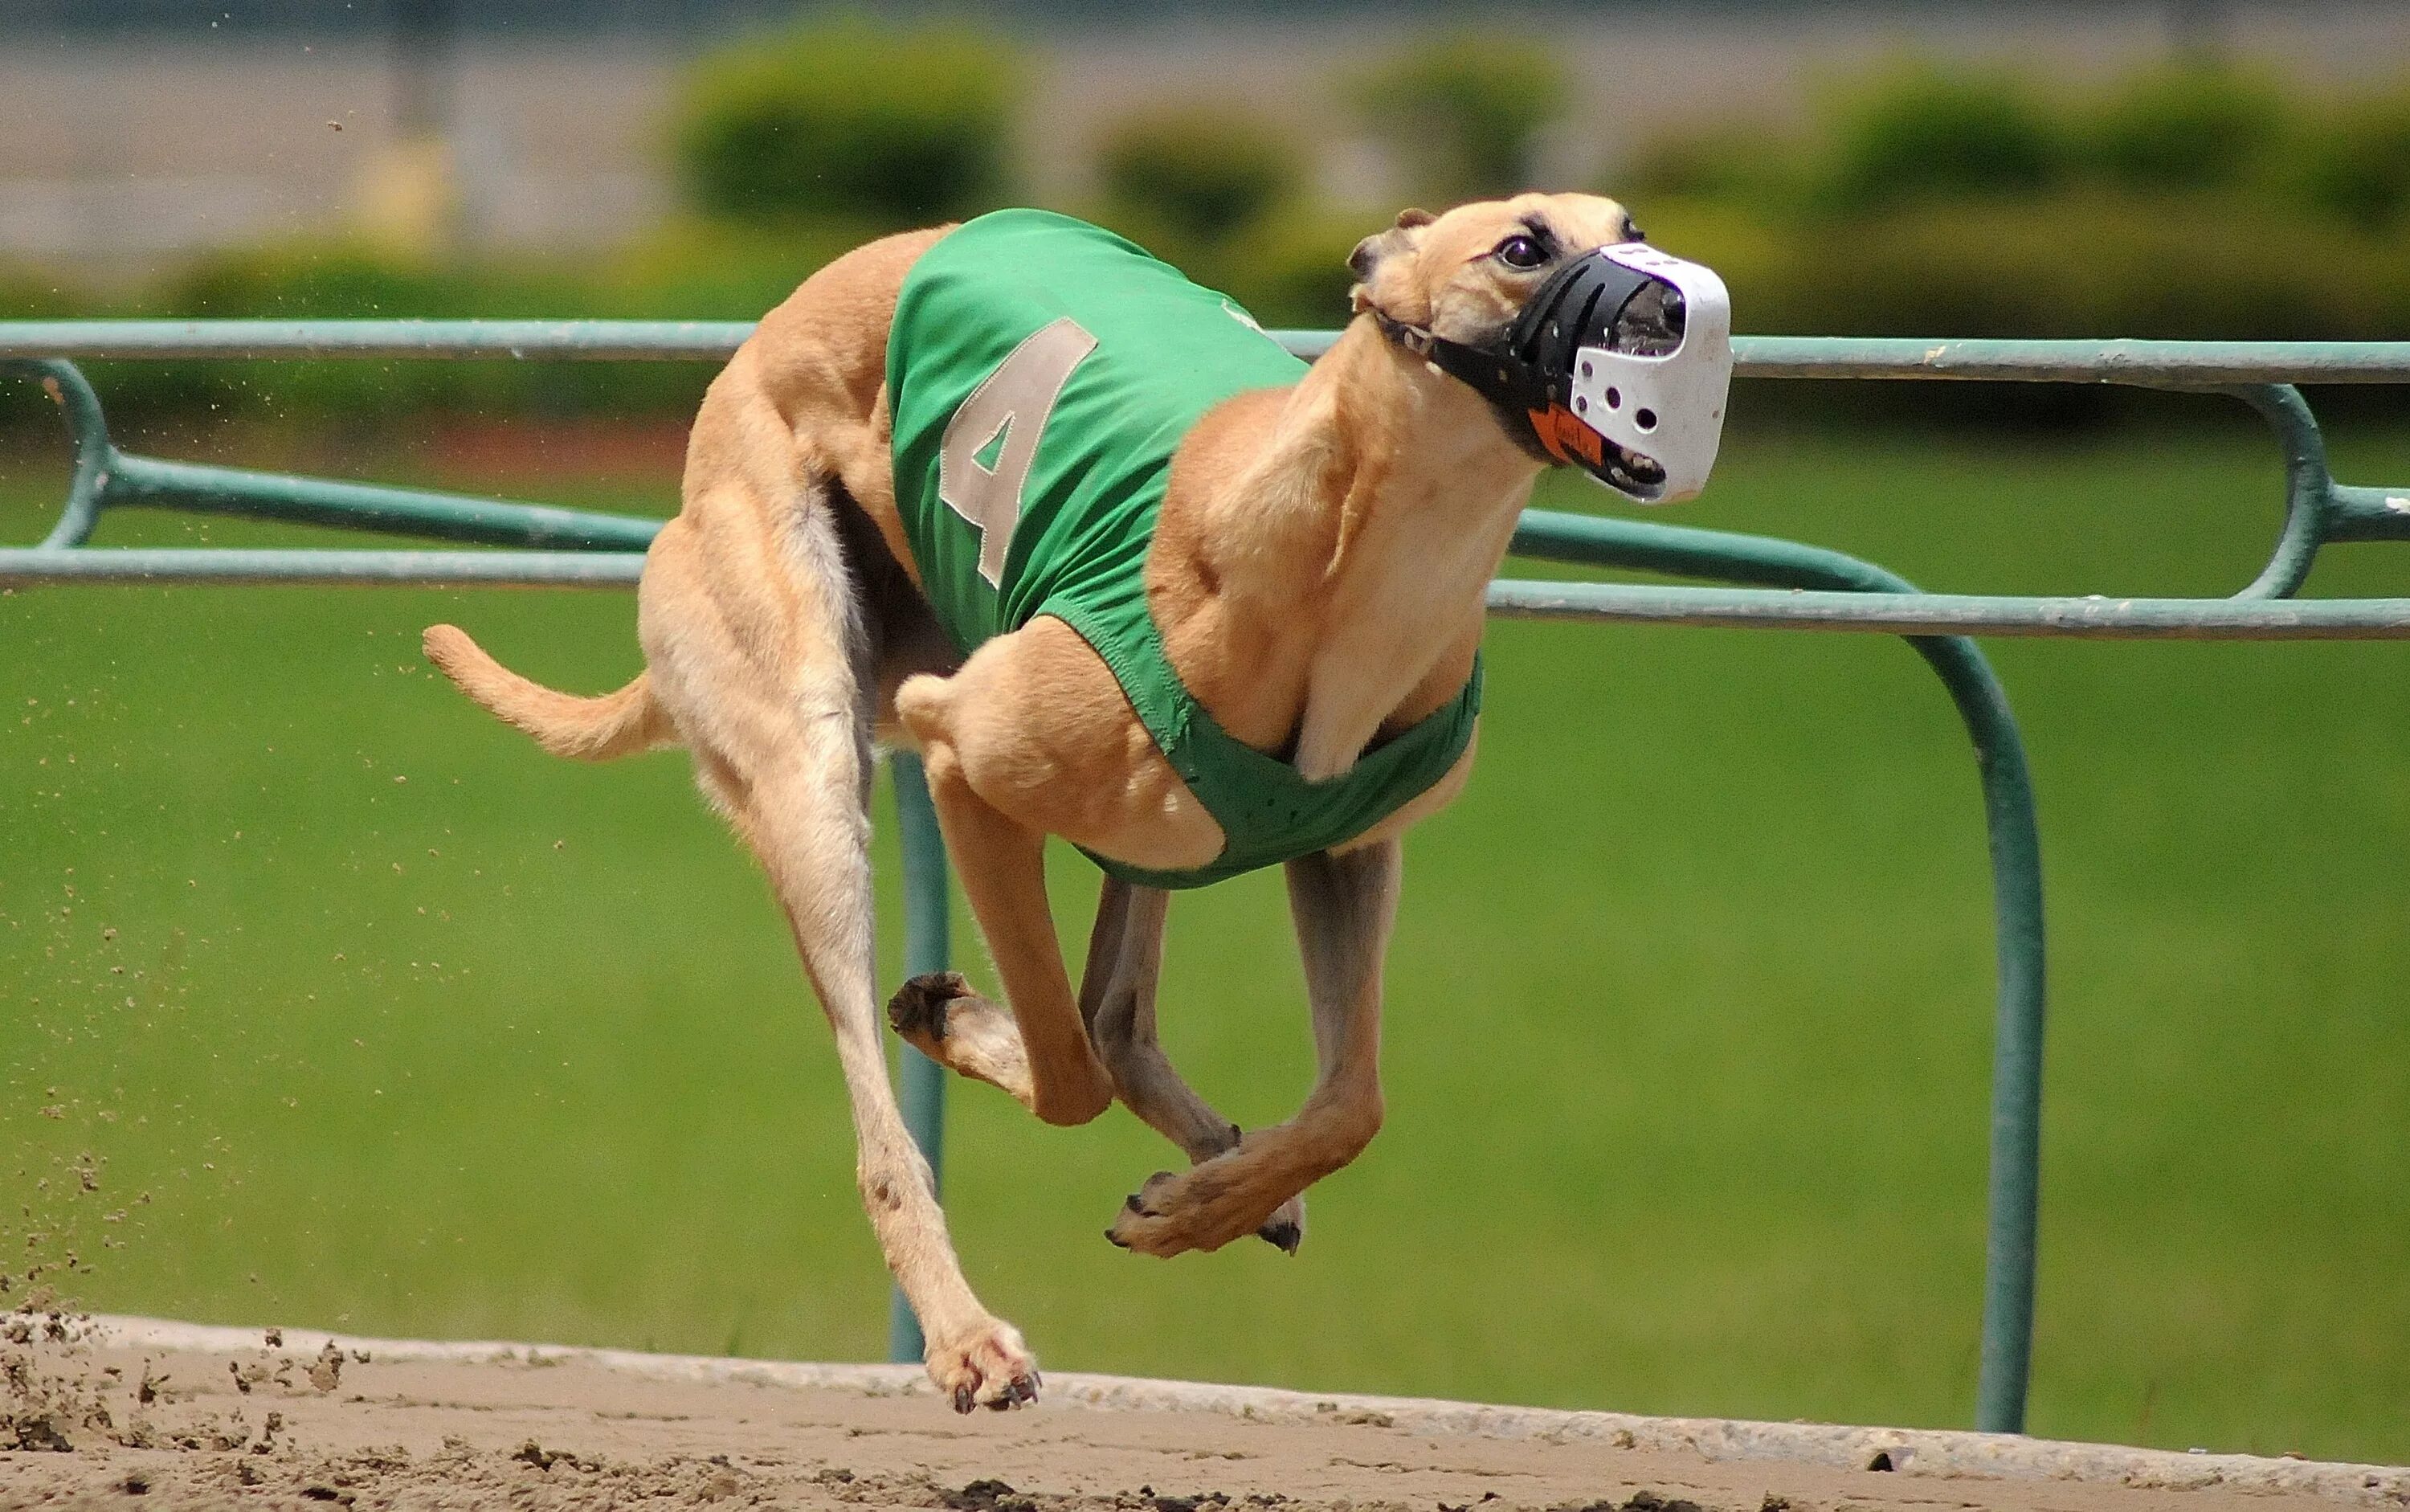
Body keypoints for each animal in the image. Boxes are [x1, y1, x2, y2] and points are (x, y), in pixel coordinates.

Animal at [424, 191, 1658, 1417]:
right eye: (1522, 247)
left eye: (1630, 225)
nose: (1664, 314)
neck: (1345, 567)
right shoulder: (957, 753)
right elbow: (1067, 1074)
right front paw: (955, 1024)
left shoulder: (1351, 849)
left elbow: (1349, 1100)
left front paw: (1192, 1206)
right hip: (812, 759)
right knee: (907, 1116)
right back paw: (967, 1333)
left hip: (1168, 828)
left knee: (1120, 1014)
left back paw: (1222, 1170)